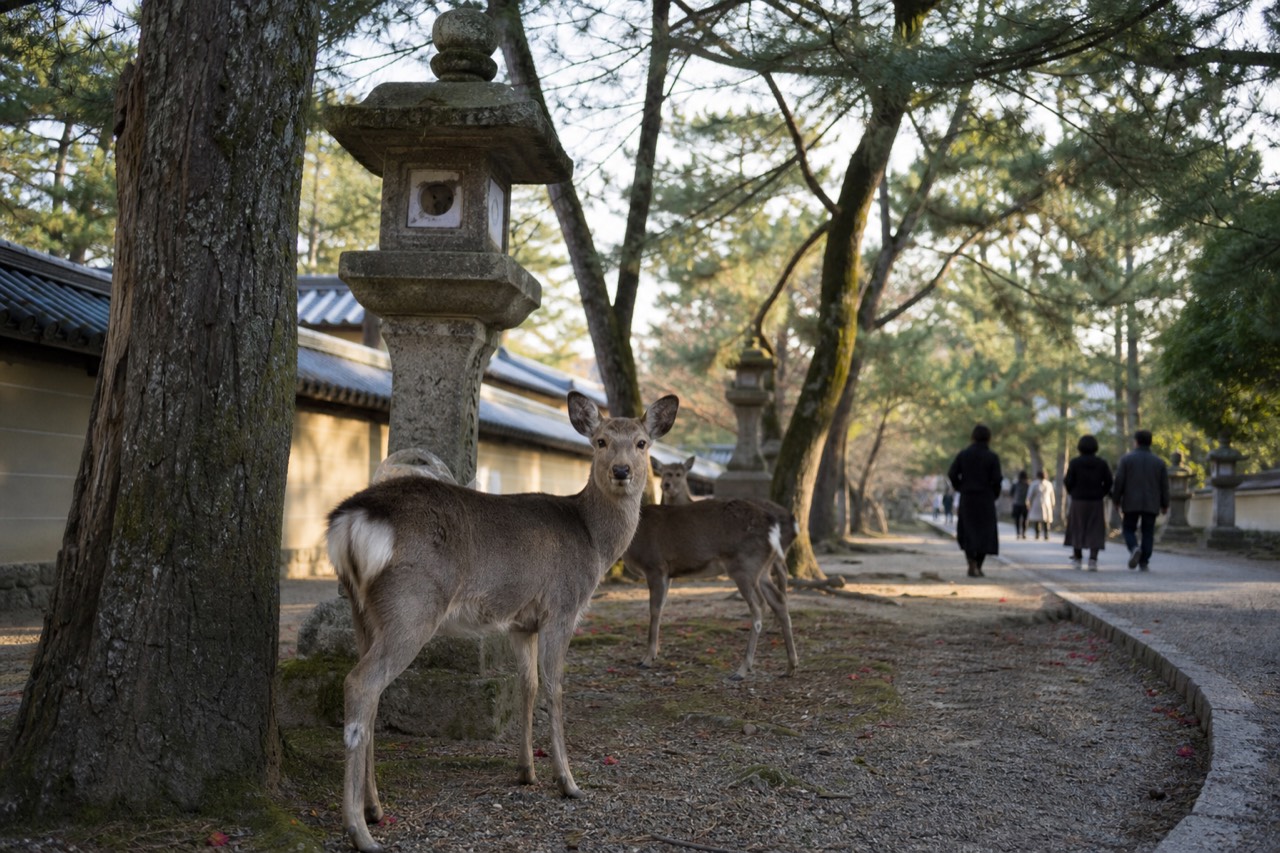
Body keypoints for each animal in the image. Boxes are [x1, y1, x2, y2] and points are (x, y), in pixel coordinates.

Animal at [326, 391, 679, 853]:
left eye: (641, 443)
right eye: (600, 441)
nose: (622, 471)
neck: (594, 544)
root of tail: (351, 521)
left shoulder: (520, 623)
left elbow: (526, 685)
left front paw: (526, 771)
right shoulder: (562, 607)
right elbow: (554, 687)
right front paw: (568, 781)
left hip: (361, 609)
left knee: (370, 694)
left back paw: (375, 809)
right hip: (412, 604)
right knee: (360, 683)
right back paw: (360, 830)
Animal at [622, 491, 799, 680]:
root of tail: (773, 528)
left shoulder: (655, 566)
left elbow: (654, 610)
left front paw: (647, 658)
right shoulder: (668, 574)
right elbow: (661, 608)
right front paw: (655, 653)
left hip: (745, 566)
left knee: (759, 605)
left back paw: (742, 669)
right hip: (763, 569)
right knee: (779, 600)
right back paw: (790, 667)